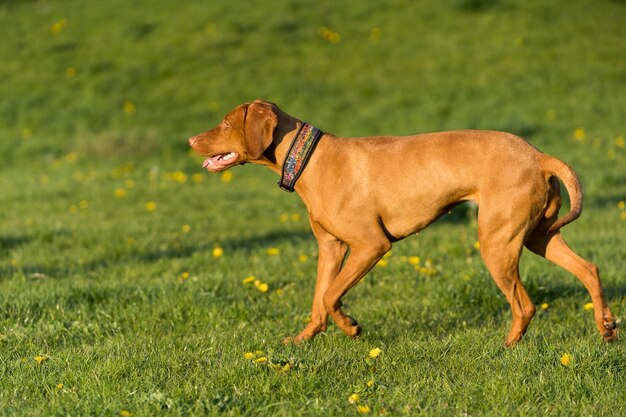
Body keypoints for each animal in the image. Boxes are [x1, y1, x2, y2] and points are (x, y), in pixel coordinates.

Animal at [188, 100, 616, 344]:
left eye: (224, 122)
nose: (190, 140)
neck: (308, 159)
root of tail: (539, 155)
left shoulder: (371, 245)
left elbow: (330, 296)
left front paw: (351, 327)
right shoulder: (330, 248)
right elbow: (318, 299)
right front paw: (304, 338)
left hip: (497, 243)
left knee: (525, 305)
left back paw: (507, 346)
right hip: (538, 236)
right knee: (589, 269)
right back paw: (606, 326)